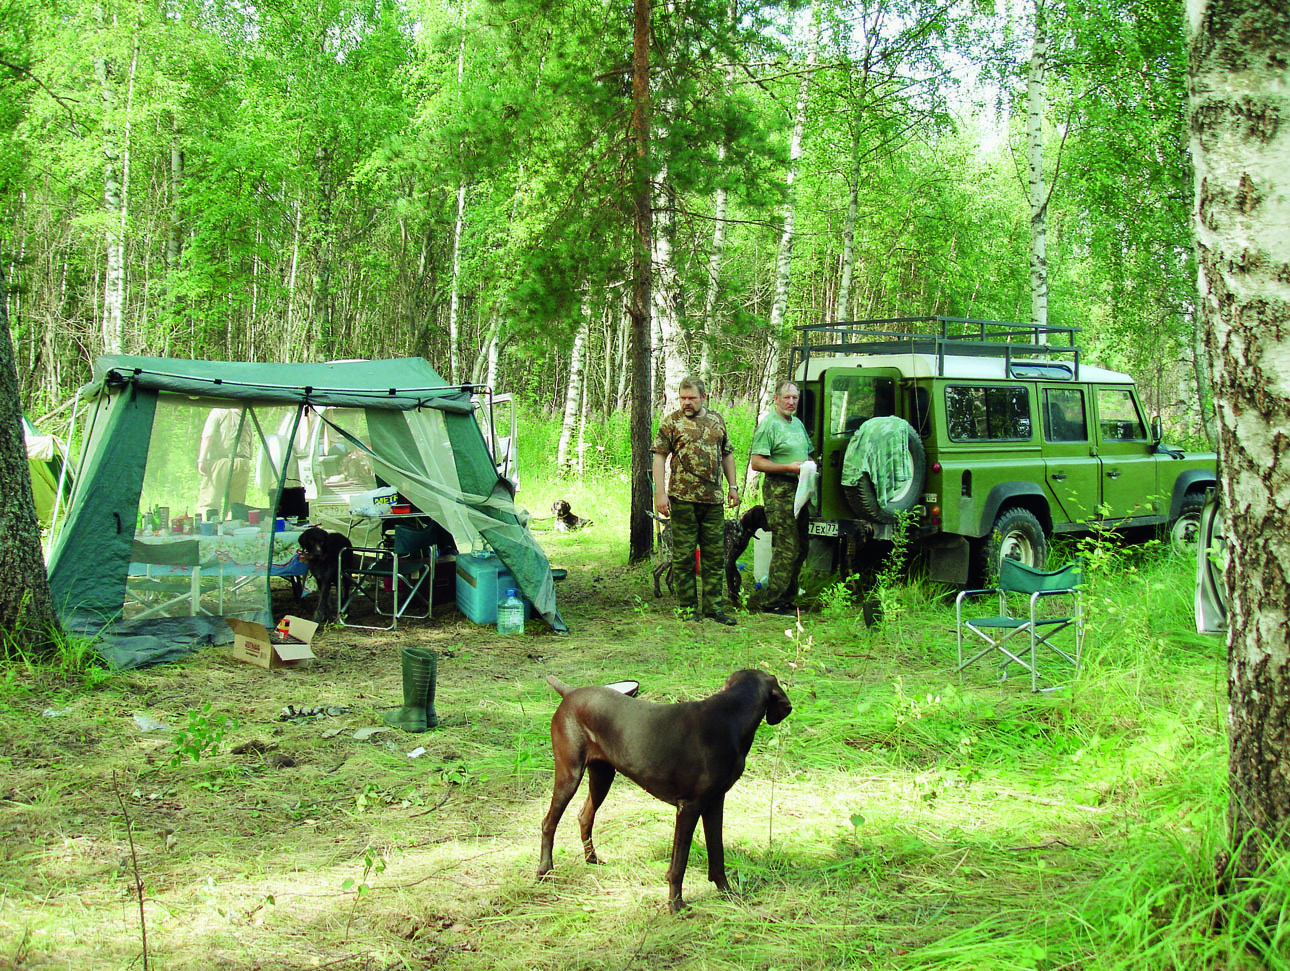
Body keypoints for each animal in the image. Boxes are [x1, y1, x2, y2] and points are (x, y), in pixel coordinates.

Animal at [536, 665, 794, 907]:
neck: (731, 716)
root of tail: (570, 693)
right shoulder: (689, 807)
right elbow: (679, 864)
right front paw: (676, 905)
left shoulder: (714, 803)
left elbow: (717, 855)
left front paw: (727, 893)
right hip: (569, 774)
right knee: (549, 823)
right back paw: (544, 870)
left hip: (602, 776)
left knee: (585, 816)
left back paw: (592, 860)